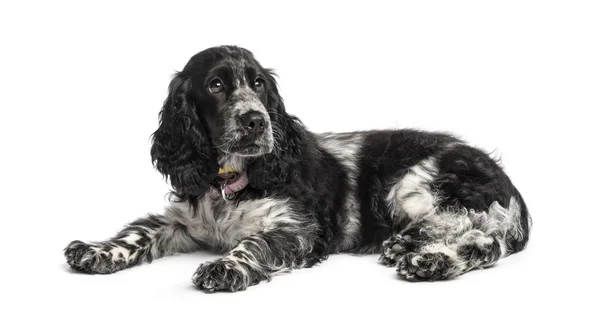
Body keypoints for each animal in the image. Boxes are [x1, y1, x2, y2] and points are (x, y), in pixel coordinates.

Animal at [65, 46, 532, 292]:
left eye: (259, 85)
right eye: (215, 85)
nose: (256, 121)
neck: (229, 183)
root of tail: (511, 187)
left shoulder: (298, 228)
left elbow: (254, 244)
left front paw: (226, 267)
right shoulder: (183, 220)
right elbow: (138, 232)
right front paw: (97, 251)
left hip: (416, 183)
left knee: (483, 240)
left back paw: (429, 260)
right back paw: (407, 246)